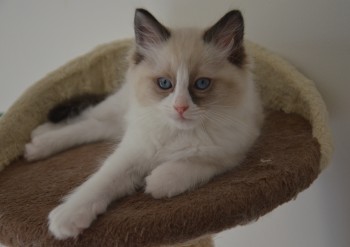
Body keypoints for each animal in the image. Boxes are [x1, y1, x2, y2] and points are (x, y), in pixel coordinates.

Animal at [23, 8, 262, 239]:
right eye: (164, 83)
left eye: (202, 84)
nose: (180, 108)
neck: (177, 132)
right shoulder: (133, 151)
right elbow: (100, 181)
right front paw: (67, 218)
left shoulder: (231, 153)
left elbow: (194, 164)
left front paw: (157, 181)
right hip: (118, 110)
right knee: (88, 117)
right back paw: (39, 139)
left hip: (116, 125)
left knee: (91, 126)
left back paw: (37, 142)